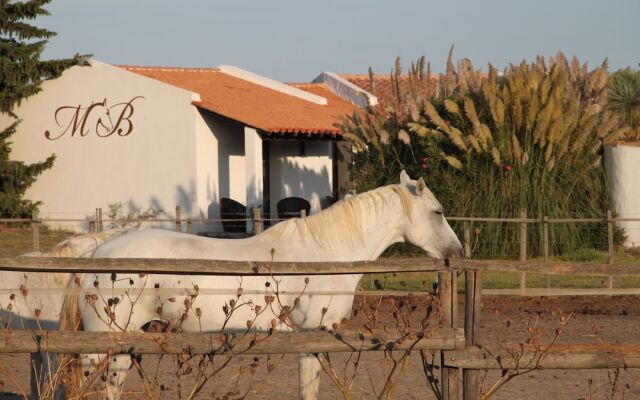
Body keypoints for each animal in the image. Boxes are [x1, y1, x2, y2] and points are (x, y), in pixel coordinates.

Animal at [81, 170, 464, 398]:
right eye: (438, 212)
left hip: (128, 342)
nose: (457, 252)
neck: (324, 255)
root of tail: (98, 251)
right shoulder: (310, 340)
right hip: (101, 344)